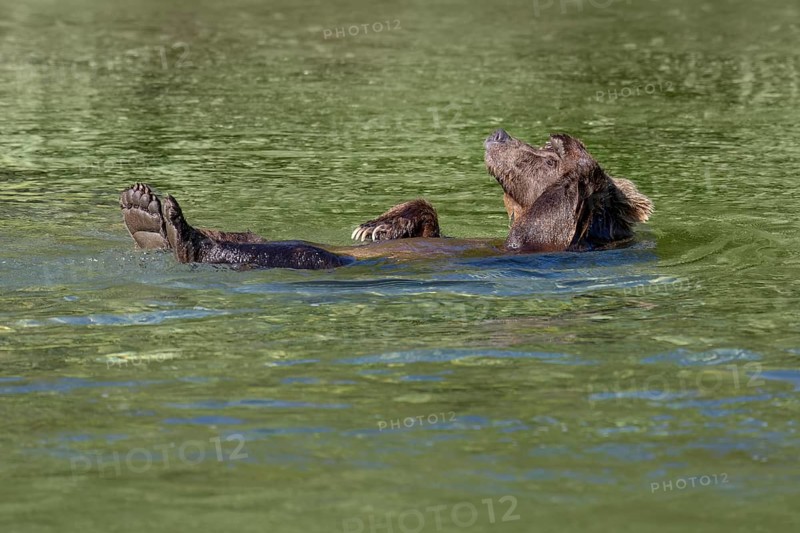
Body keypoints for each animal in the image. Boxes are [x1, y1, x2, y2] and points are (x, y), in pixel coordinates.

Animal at [119, 130, 653, 269]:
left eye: (547, 151)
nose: (498, 134)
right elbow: (429, 218)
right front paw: (378, 224)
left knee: (299, 252)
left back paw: (172, 227)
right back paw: (143, 208)